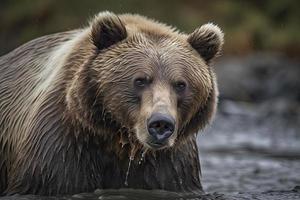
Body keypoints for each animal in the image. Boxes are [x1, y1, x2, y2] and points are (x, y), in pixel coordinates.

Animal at [0, 11, 223, 195]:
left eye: (180, 84)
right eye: (140, 80)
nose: (161, 123)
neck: (118, 140)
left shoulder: (170, 165)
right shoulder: (59, 148)